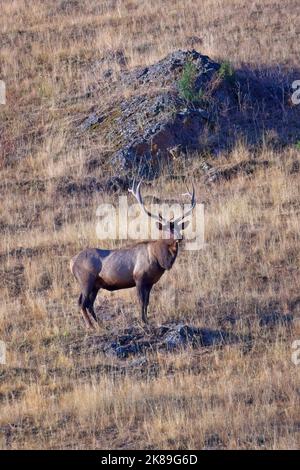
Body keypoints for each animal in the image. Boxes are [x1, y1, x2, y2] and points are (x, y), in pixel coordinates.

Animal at [70, 180, 197, 326]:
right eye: (167, 229)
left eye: (179, 227)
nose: (179, 238)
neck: (158, 259)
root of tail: (71, 262)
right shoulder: (139, 277)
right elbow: (141, 301)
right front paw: (143, 321)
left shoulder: (150, 282)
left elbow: (147, 302)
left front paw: (147, 320)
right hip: (86, 279)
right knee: (81, 303)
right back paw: (90, 326)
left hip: (96, 284)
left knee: (90, 303)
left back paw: (100, 324)